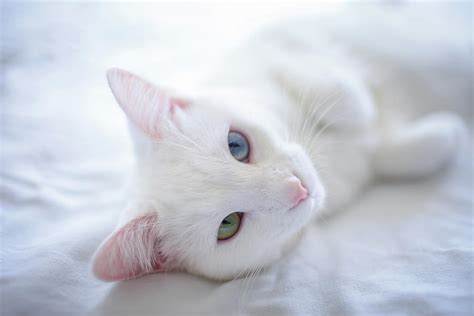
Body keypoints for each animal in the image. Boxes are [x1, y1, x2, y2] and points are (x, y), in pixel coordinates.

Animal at [90, 18, 464, 282]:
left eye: (237, 145)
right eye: (228, 225)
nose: (296, 187)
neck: (327, 159)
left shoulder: (276, 47)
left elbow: (334, 88)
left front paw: (358, 106)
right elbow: (395, 155)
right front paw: (445, 134)